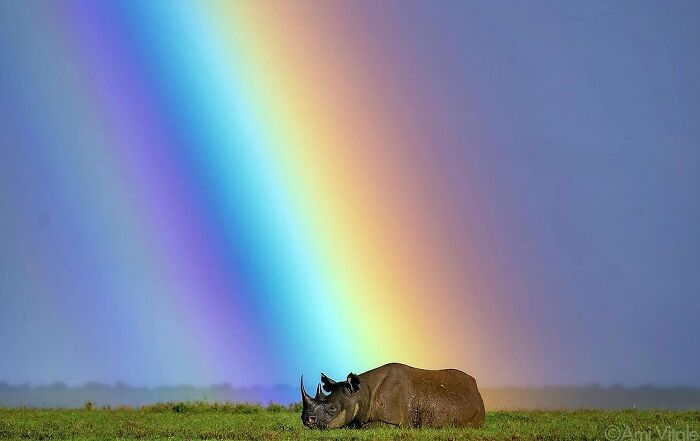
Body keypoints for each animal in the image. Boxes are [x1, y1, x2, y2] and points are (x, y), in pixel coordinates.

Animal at [300, 362, 486, 428]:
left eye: (332, 408)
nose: (306, 420)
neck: (362, 392)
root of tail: (476, 386)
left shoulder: (395, 422)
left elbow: (365, 426)